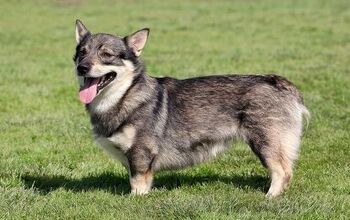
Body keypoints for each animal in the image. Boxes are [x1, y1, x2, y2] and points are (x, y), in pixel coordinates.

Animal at [73, 19, 308, 197]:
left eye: (106, 55)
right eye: (81, 52)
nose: (81, 67)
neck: (125, 95)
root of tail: (279, 82)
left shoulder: (141, 154)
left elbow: (138, 183)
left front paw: (135, 200)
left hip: (266, 142)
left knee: (282, 171)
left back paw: (270, 197)